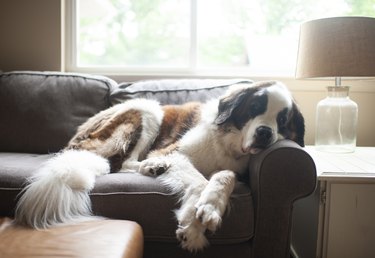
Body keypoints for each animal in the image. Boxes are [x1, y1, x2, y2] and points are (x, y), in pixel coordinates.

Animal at [14, 80, 306, 250]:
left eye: (282, 120)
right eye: (255, 107)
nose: (265, 133)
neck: (229, 142)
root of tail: (77, 139)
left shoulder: (235, 169)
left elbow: (224, 175)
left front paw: (209, 208)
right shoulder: (174, 152)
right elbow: (198, 182)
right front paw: (193, 225)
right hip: (148, 110)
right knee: (124, 162)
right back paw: (152, 166)